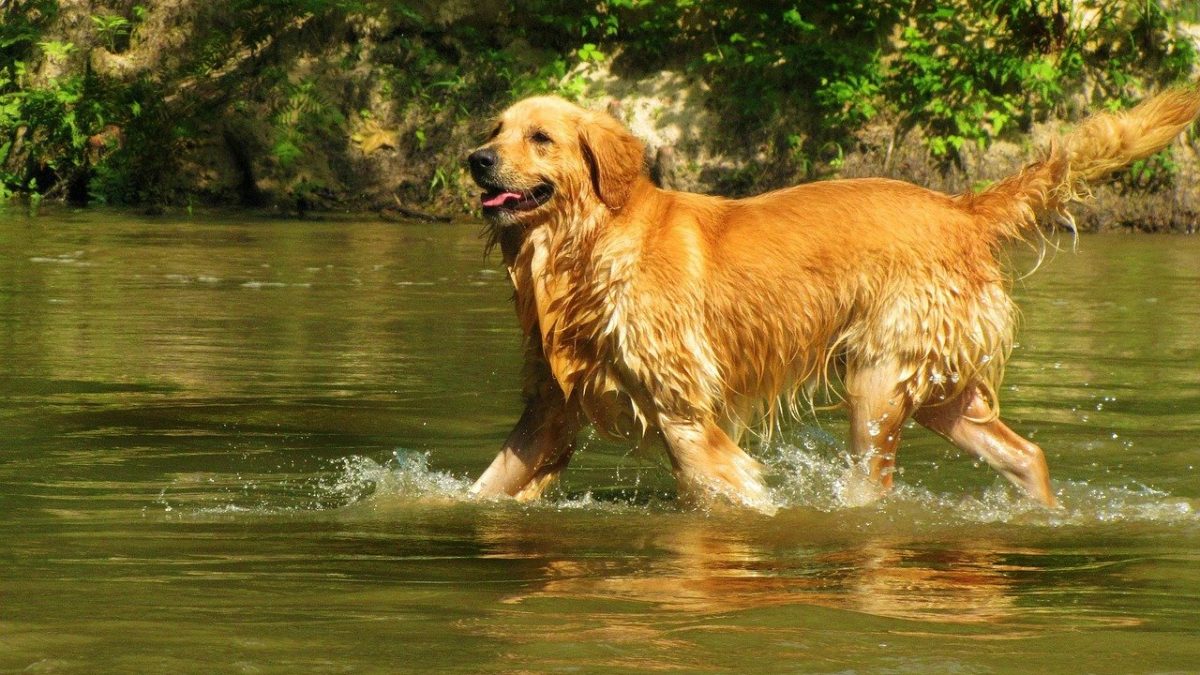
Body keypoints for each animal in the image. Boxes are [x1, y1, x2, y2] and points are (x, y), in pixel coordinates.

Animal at [463, 88, 1200, 509]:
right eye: (495, 128)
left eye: (540, 137)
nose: (475, 159)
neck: (585, 248)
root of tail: (962, 210)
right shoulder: (551, 409)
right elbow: (484, 487)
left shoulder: (684, 415)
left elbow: (731, 490)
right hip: (939, 390)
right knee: (1028, 454)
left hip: (878, 380)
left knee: (874, 489)